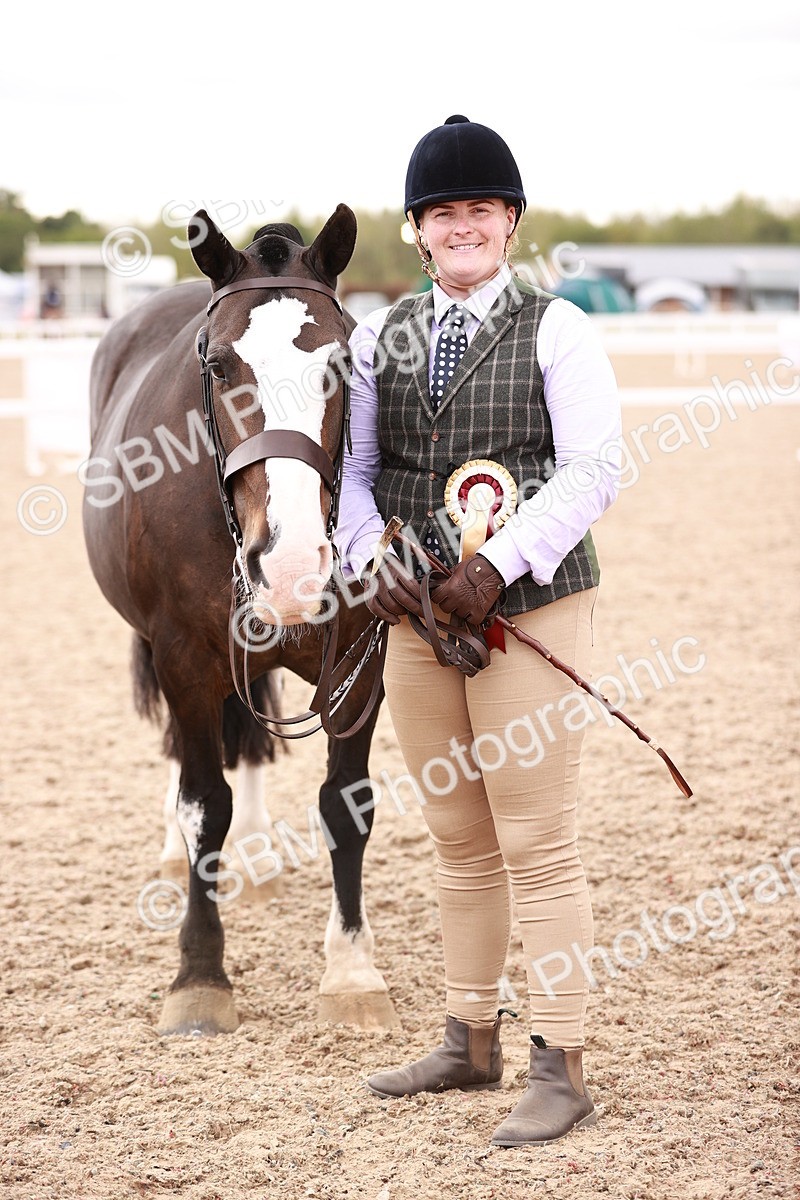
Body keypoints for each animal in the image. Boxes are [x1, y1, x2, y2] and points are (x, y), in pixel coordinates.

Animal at [82, 205, 398, 1035]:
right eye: (221, 367)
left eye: (341, 365)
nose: (289, 564)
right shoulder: (184, 660)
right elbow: (204, 806)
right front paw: (199, 974)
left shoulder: (359, 663)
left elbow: (345, 806)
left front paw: (352, 970)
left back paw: (254, 857)